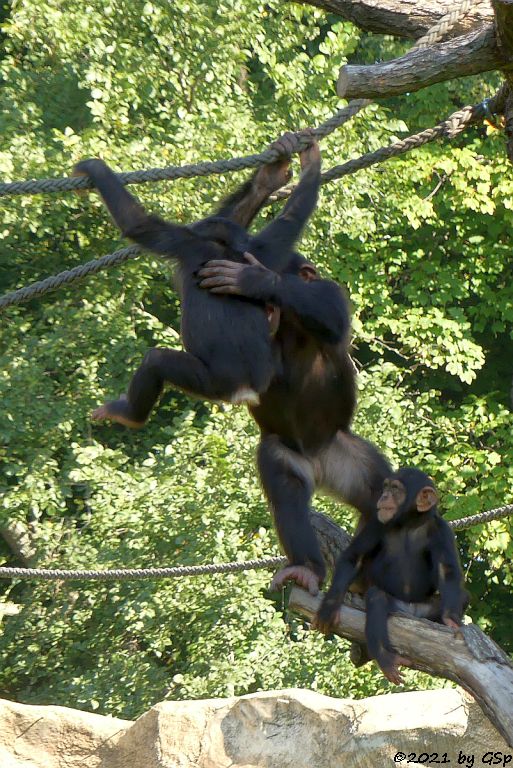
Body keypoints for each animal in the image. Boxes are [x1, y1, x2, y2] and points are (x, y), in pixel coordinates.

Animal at [312, 468, 468, 684]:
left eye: (395, 489)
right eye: (385, 487)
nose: (384, 496)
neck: (410, 522)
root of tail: (412, 612)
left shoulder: (442, 530)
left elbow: (447, 571)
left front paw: (450, 619)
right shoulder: (376, 523)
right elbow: (354, 557)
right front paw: (330, 605)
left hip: (424, 609)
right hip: (396, 606)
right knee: (377, 598)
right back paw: (385, 658)